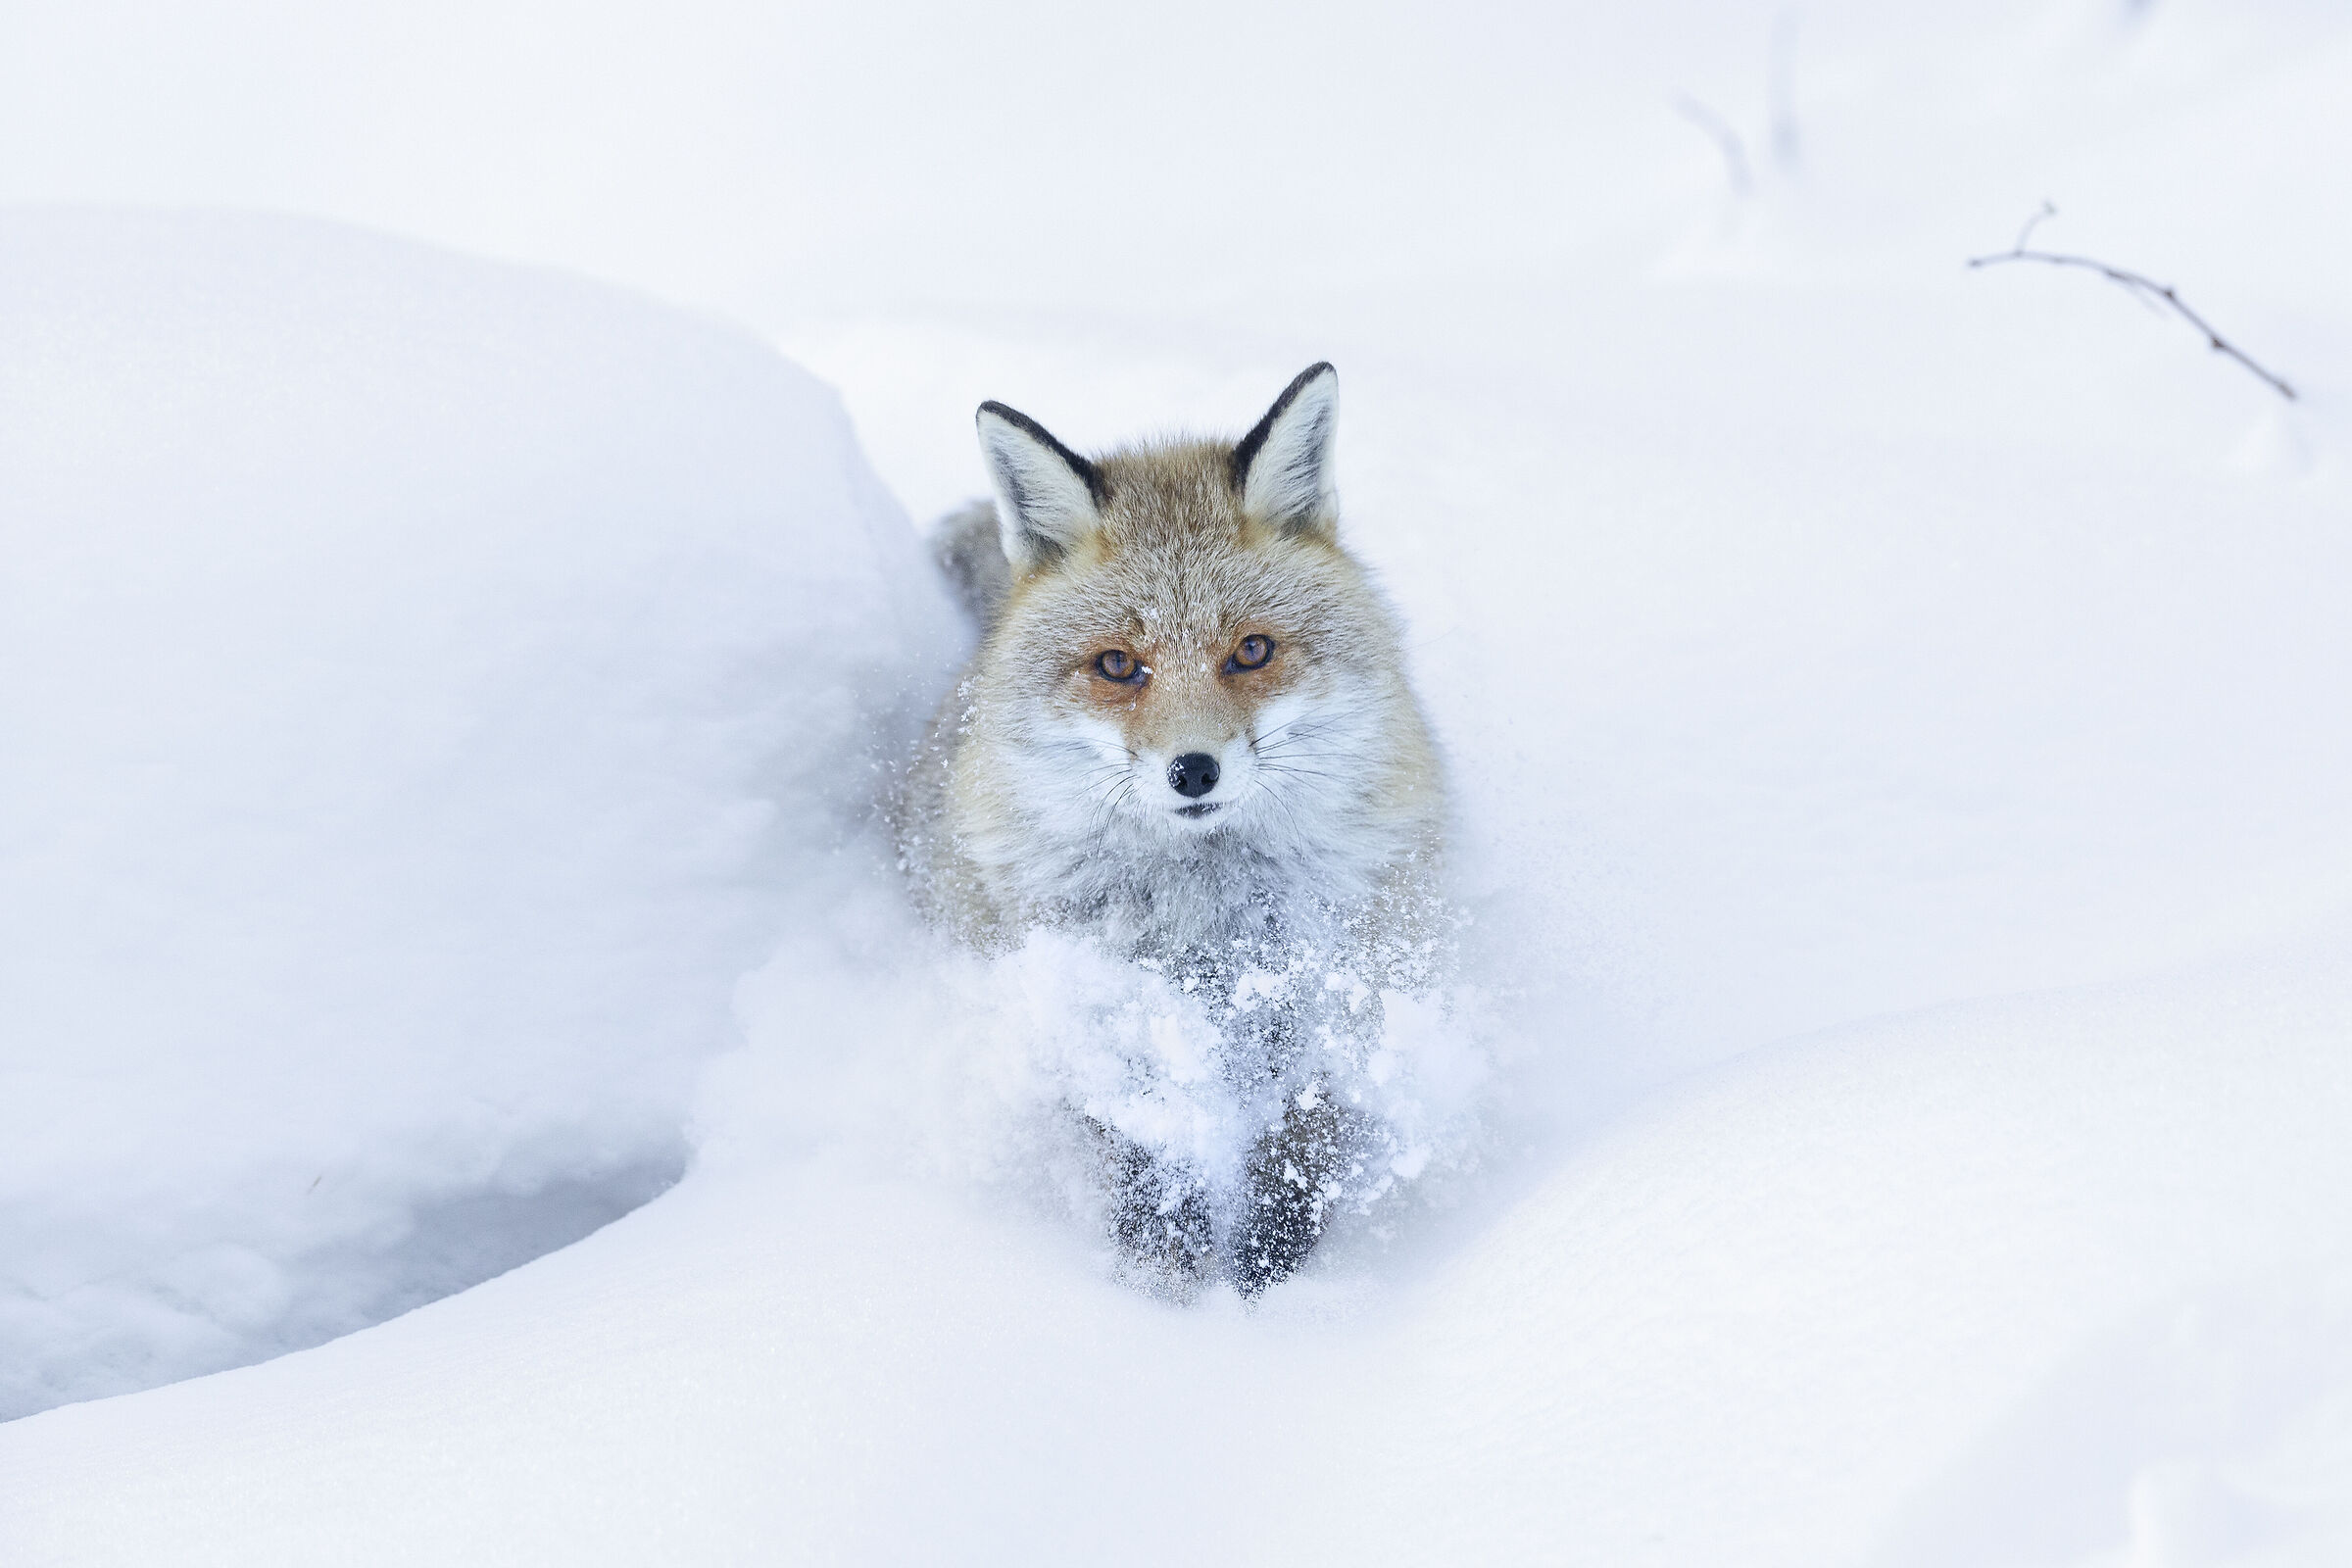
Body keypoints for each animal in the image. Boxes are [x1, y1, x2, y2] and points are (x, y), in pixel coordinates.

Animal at [897, 363, 1448, 1295]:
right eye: (1120, 664)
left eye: (1252, 651)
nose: (1193, 771)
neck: (1205, 924)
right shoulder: (1087, 1012)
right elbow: (1137, 1148)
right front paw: (1163, 1274)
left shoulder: (1337, 995)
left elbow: (1301, 1148)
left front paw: (1273, 1279)